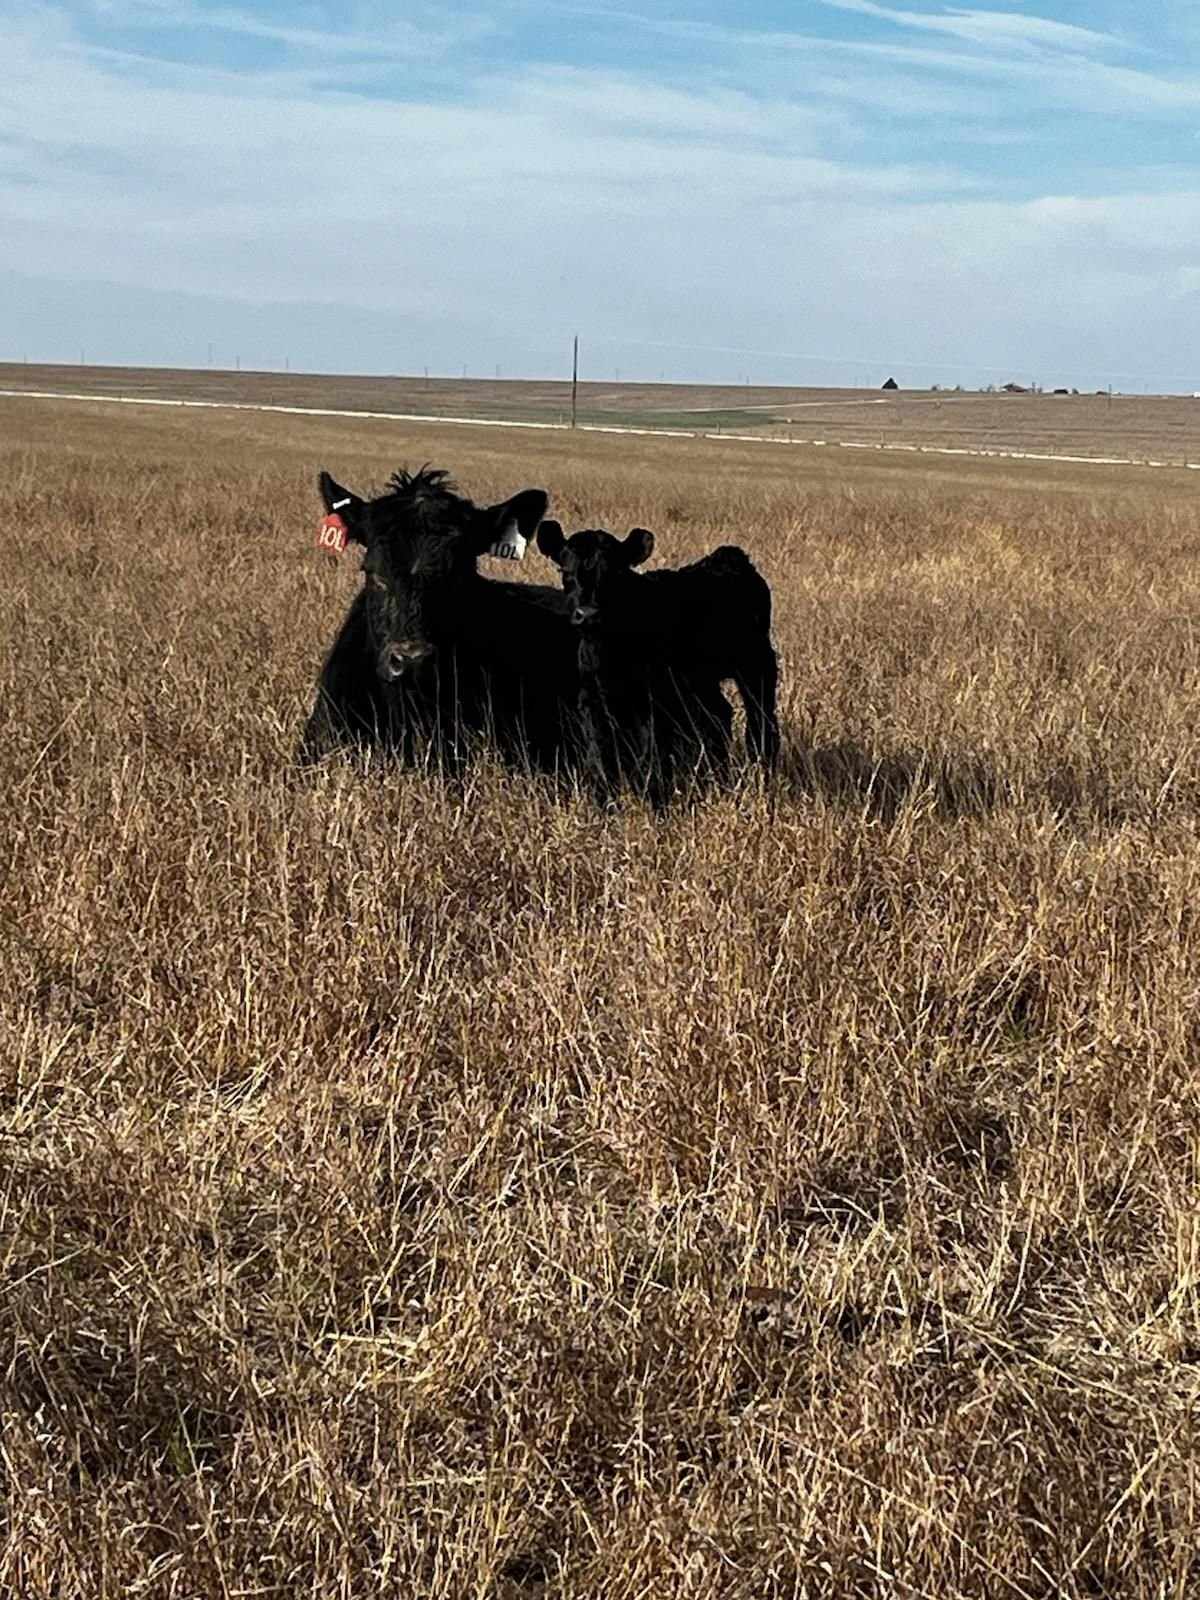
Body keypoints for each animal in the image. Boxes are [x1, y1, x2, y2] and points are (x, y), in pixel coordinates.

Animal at [535, 522, 780, 803]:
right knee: (719, 714)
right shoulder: (592, 699)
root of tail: (731, 556)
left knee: (761, 722)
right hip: (701, 680)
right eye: (564, 571)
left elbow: (650, 756)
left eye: (617, 571)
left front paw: (654, 799)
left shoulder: (654, 702)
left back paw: (762, 771)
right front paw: (604, 800)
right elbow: (600, 754)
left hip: (757, 663)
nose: (588, 614)